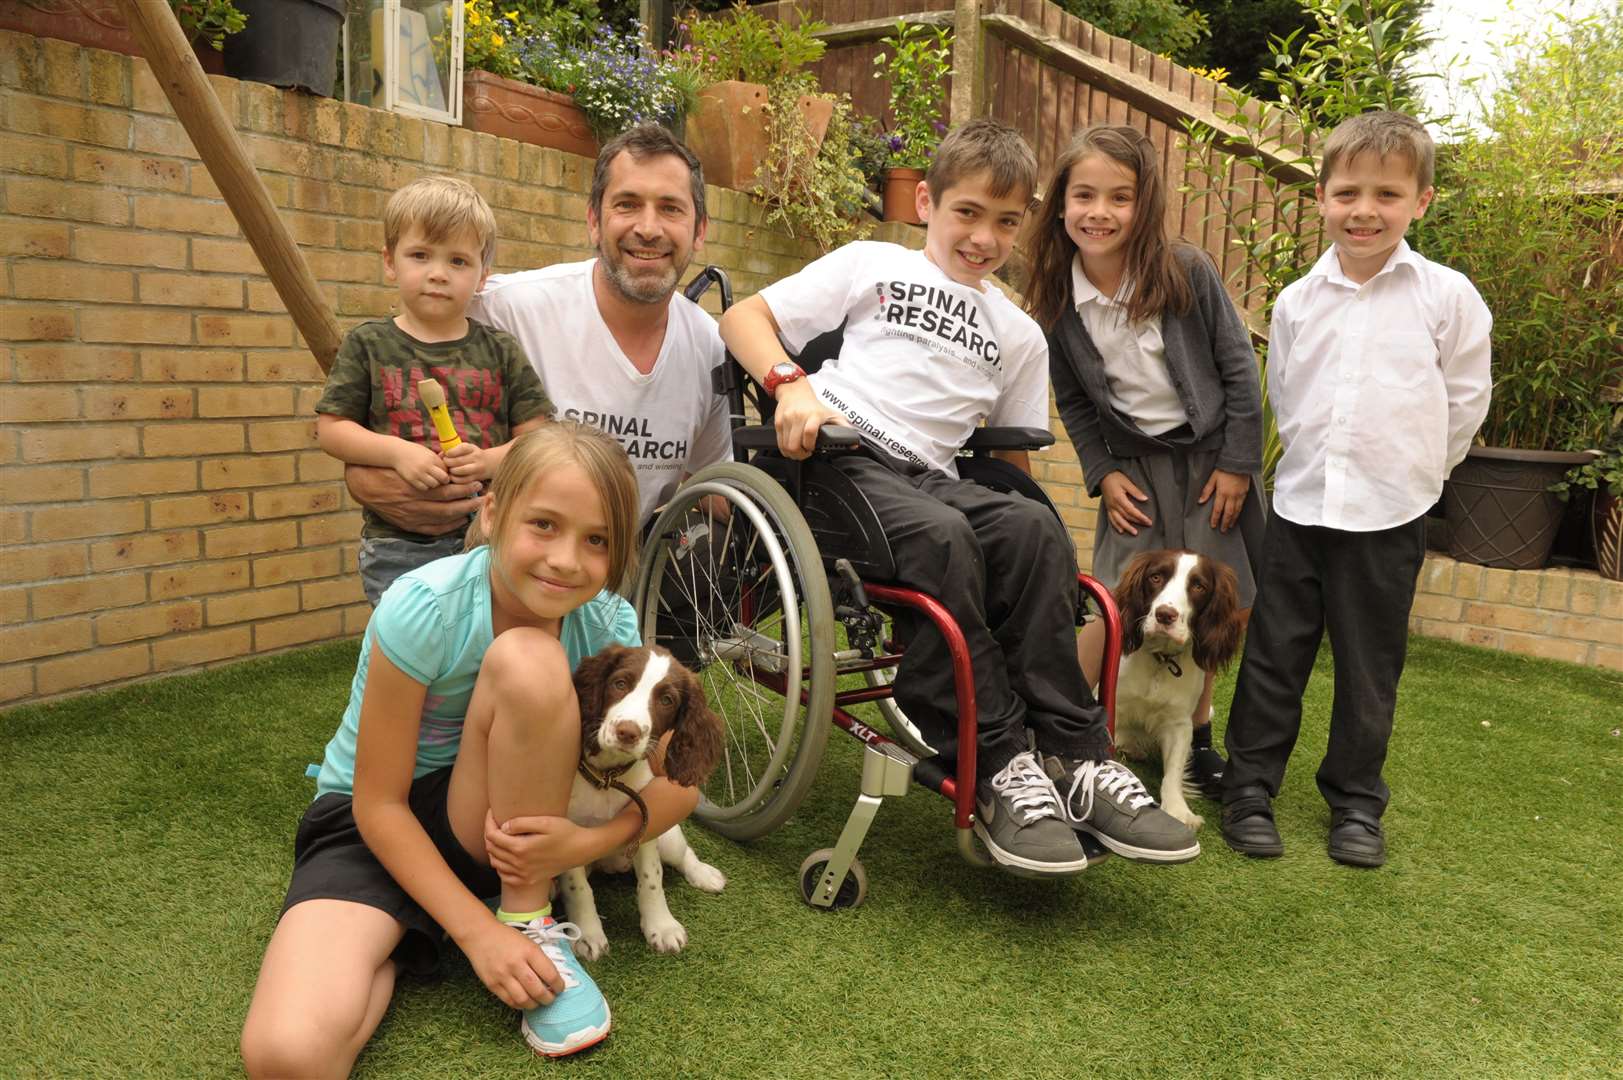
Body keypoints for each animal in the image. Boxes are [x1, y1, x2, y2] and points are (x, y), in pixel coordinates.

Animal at [564, 643, 730, 954]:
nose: (627, 732)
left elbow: (652, 879)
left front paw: (662, 927)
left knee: (684, 854)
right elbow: (578, 887)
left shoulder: (647, 826)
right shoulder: (566, 835)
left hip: (668, 837)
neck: (608, 779)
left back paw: (703, 874)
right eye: (619, 684)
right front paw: (587, 933)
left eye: (667, 700)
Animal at [1116, 552, 1239, 828]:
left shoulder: (1178, 723)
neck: (1161, 661)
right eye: (1155, 577)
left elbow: (1173, 771)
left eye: (1199, 586)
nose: (1165, 615)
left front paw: (1177, 810)